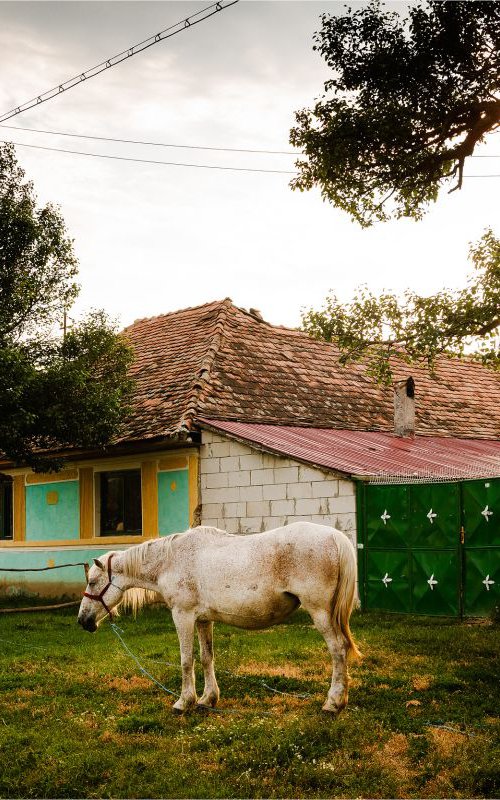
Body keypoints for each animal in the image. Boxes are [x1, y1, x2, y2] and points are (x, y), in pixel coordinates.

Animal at [77, 520, 360, 716]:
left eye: (92, 582)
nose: (83, 621)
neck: (171, 560)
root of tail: (335, 536)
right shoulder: (203, 619)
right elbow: (206, 658)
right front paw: (207, 699)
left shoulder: (182, 615)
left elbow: (186, 660)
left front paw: (184, 702)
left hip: (320, 612)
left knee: (338, 650)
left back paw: (333, 703)